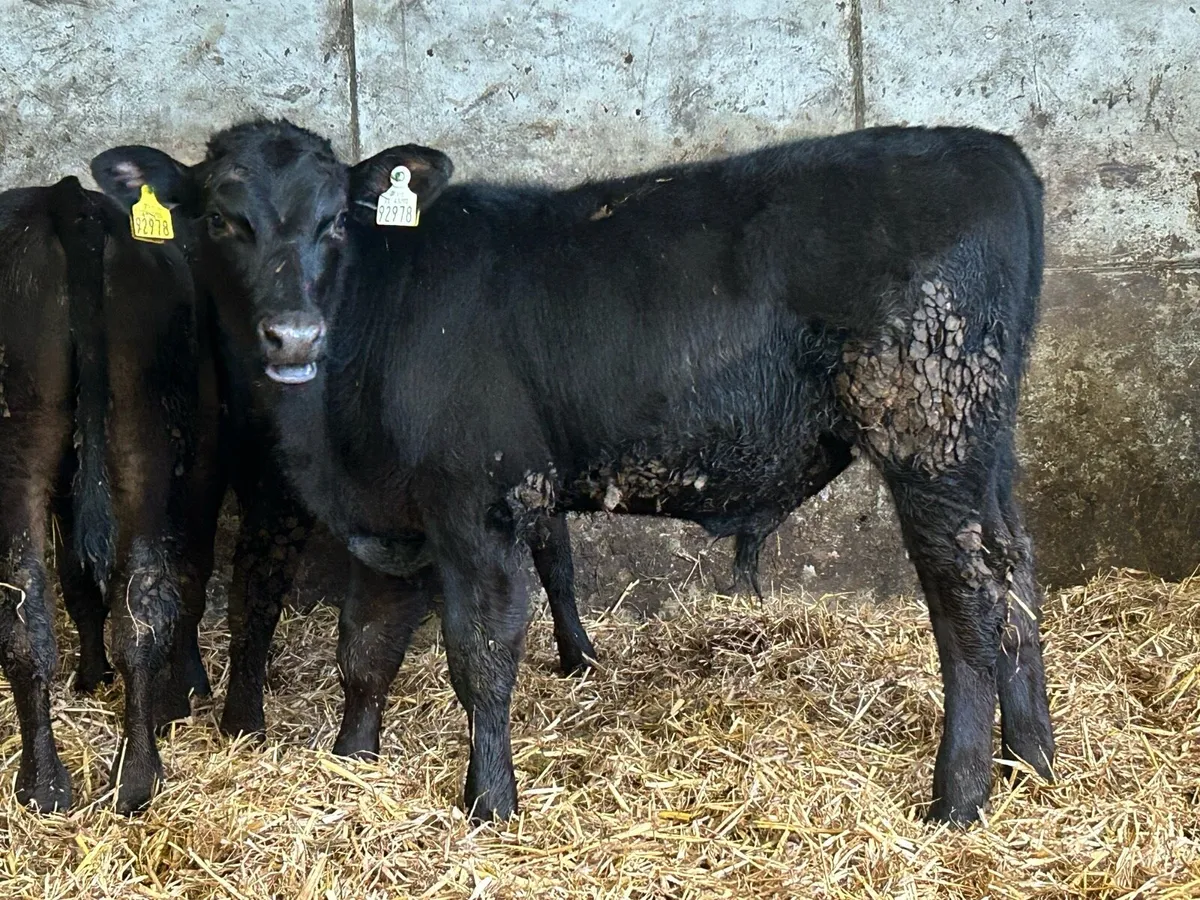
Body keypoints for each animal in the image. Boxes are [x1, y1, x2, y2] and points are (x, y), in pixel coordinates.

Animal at [0, 176, 220, 812]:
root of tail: (67, 197)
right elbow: (83, 579)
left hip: (24, 439)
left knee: (29, 605)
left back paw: (50, 783)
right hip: (138, 428)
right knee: (135, 607)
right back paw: (133, 776)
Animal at [92, 119, 1055, 826]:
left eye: (335, 221)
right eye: (223, 219)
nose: (293, 335)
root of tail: (990, 150)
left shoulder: (476, 503)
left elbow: (478, 653)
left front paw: (489, 802)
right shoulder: (394, 516)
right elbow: (365, 646)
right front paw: (353, 763)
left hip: (931, 434)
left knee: (968, 600)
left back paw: (959, 796)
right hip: (984, 450)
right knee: (1015, 575)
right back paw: (1034, 760)